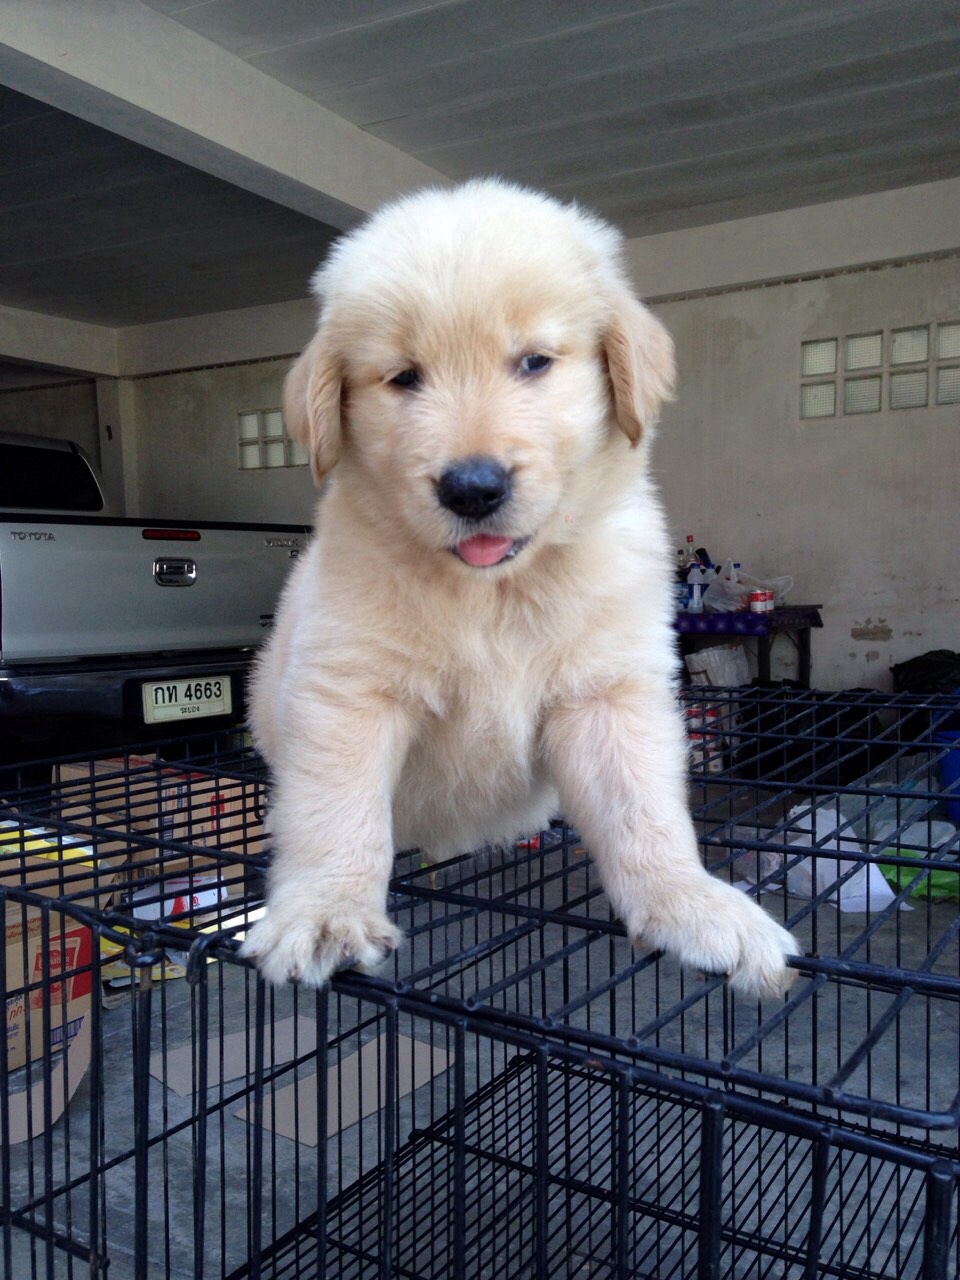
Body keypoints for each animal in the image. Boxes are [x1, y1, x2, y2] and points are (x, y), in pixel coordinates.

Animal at [241, 179, 798, 998]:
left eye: (534, 362)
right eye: (403, 376)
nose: (472, 488)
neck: (494, 589)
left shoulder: (608, 693)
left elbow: (645, 813)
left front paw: (691, 904)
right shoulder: (348, 690)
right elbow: (336, 811)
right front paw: (325, 909)